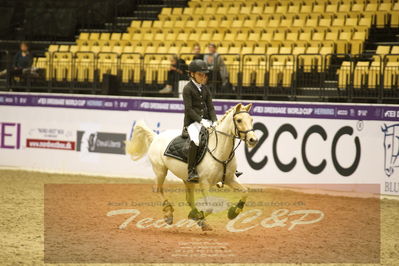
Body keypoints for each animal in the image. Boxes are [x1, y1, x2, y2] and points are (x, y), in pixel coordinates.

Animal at [126, 103, 260, 230]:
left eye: (251, 119)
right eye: (239, 120)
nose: (253, 140)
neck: (220, 151)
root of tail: (156, 136)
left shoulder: (230, 179)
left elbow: (245, 192)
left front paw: (233, 212)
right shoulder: (205, 182)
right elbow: (210, 207)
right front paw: (197, 217)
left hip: (187, 179)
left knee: (189, 199)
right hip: (160, 171)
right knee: (158, 189)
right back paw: (169, 214)